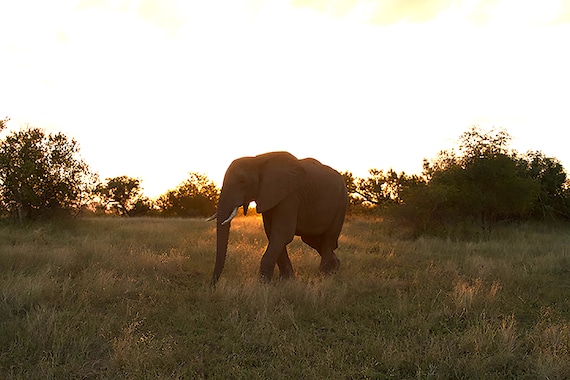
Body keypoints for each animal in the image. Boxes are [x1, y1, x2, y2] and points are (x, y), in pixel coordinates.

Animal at [207, 151, 346, 284]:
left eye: (242, 181)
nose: (212, 285)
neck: (257, 161)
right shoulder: (268, 196)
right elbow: (272, 234)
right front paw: (286, 281)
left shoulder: (289, 195)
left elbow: (282, 234)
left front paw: (264, 284)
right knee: (312, 239)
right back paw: (336, 268)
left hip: (341, 203)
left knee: (328, 239)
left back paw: (324, 277)